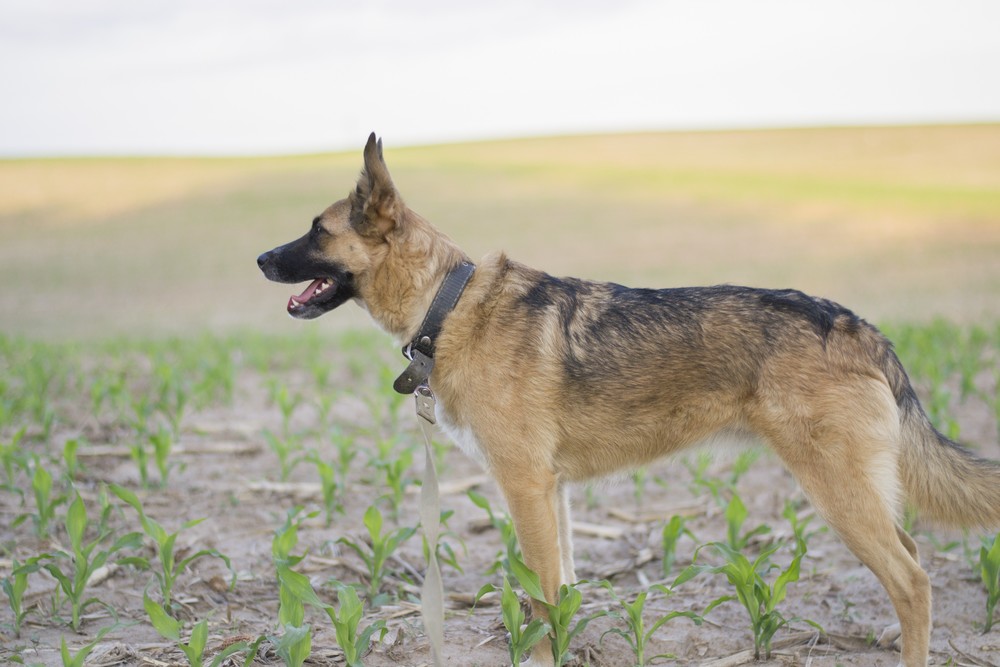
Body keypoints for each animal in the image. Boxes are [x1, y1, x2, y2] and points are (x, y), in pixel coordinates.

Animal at [260, 133, 1000, 664]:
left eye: (317, 231)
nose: (261, 260)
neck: (451, 302)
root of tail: (853, 323)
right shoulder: (551, 492)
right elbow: (555, 592)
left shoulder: (525, 485)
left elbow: (544, 599)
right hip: (859, 491)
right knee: (912, 558)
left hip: (837, 491)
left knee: (913, 580)